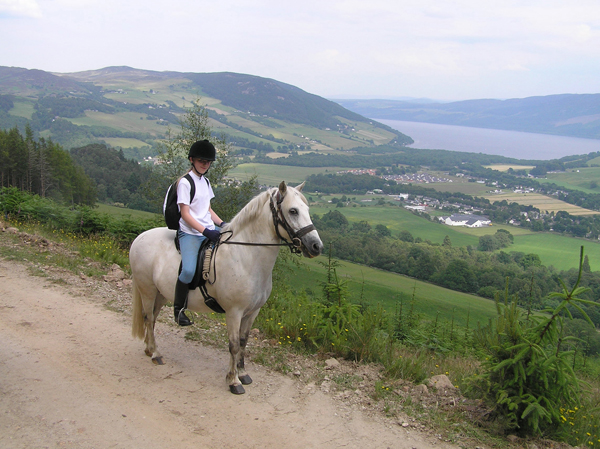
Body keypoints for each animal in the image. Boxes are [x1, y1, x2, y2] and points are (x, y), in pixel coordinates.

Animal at [130, 180, 324, 394]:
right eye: (293, 211)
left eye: (307, 210)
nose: (316, 246)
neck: (246, 256)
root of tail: (140, 237)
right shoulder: (234, 312)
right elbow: (233, 345)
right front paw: (233, 381)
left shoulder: (252, 312)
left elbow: (243, 342)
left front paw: (243, 374)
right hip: (147, 290)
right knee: (148, 318)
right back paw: (156, 354)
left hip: (161, 293)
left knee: (153, 319)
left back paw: (149, 349)